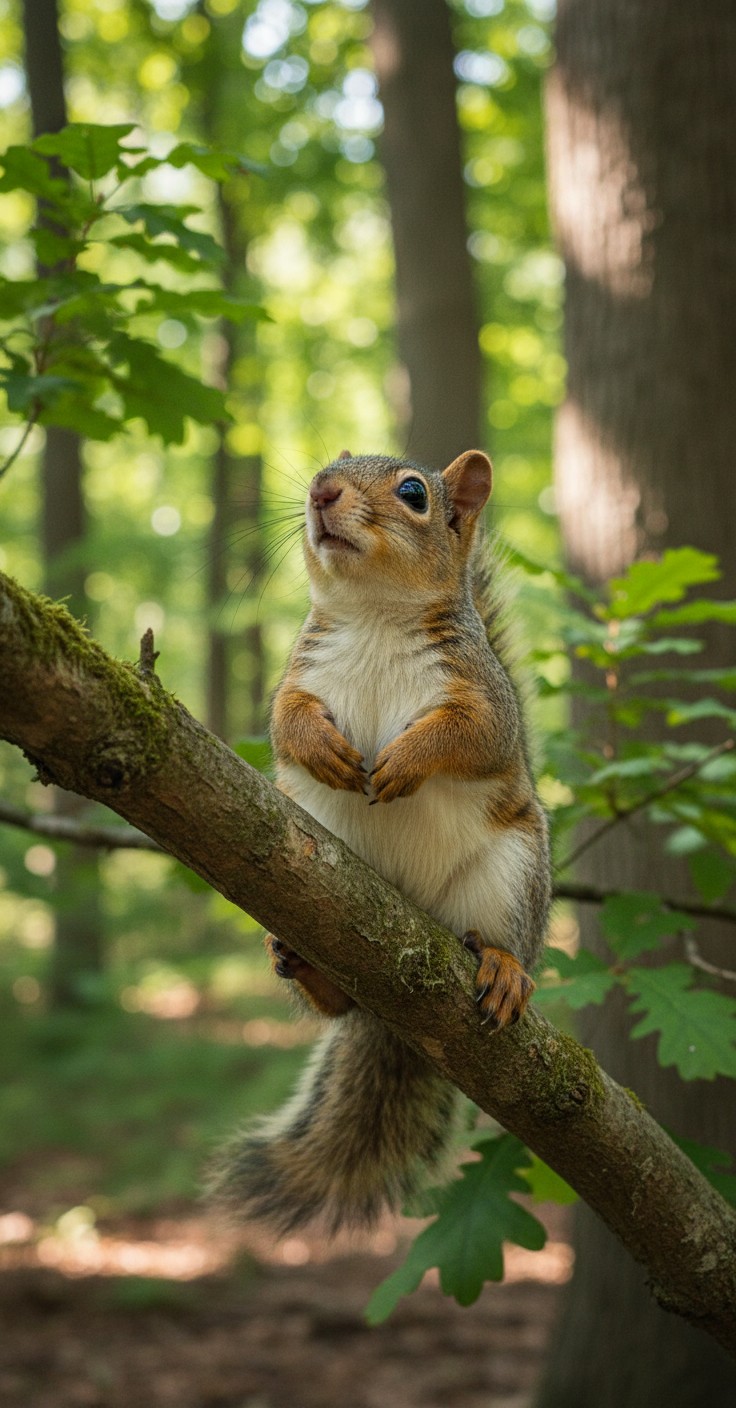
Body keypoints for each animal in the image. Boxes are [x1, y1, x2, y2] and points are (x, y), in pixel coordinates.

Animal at [211, 449, 551, 1234]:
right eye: (327, 464)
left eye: (414, 492)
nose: (320, 491)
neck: (371, 616)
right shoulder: (296, 678)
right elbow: (285, 722)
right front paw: (321, 749)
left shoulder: (485, 699)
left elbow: (471, 736)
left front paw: (406, 759)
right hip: (302, 897)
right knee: (336, 1000)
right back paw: (307, 967)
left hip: (512, 873)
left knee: (505, 938)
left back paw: (503, 967)